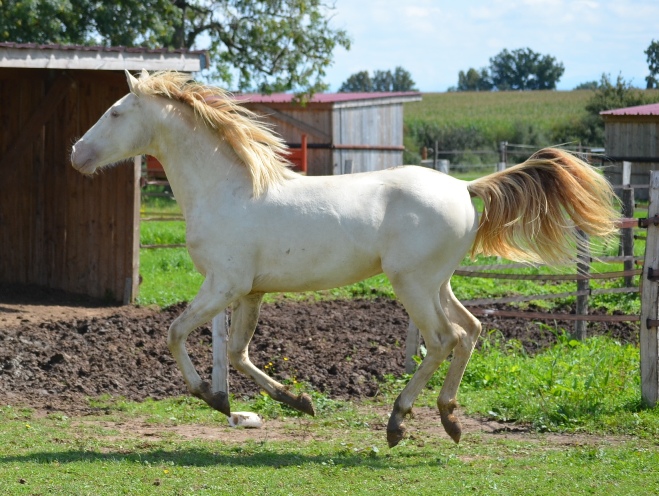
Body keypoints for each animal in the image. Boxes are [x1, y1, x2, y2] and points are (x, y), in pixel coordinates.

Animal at [72, 70, 620, 450]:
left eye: (116, 112)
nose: (77, 153)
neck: (229, 190)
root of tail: (465, 186)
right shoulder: (249, 291)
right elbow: (239, 354)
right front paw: (296, 401)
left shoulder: (223, 286)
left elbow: (176, 333)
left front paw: (213, 397)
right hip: (438, 283)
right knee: (471, 331)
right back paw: (449, 418)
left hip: (412, 284)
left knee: (444, 339)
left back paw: (398, 422)